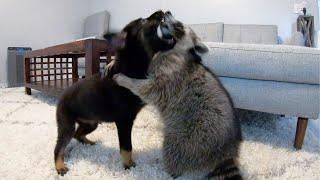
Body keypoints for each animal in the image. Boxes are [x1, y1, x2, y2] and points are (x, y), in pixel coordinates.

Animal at [53, 10, 176, 176]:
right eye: (143, 21)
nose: (163, 11)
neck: (130, 64)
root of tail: (61, 98)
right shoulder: (124, 121)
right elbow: (126, 146)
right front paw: (128, 165)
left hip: (91, 123)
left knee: (78, 135)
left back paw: (88, 143)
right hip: (67, 125)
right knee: (59, 146)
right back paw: (59, 166)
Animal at [111, 11, 241, 179]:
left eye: (179, 26)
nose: (167, 12)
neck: (174, 48)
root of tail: (225, 153)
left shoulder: (171, 76)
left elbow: (148, 89)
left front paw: (127, 81)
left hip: (189, 140)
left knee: (173, 155)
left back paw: (164, 170)